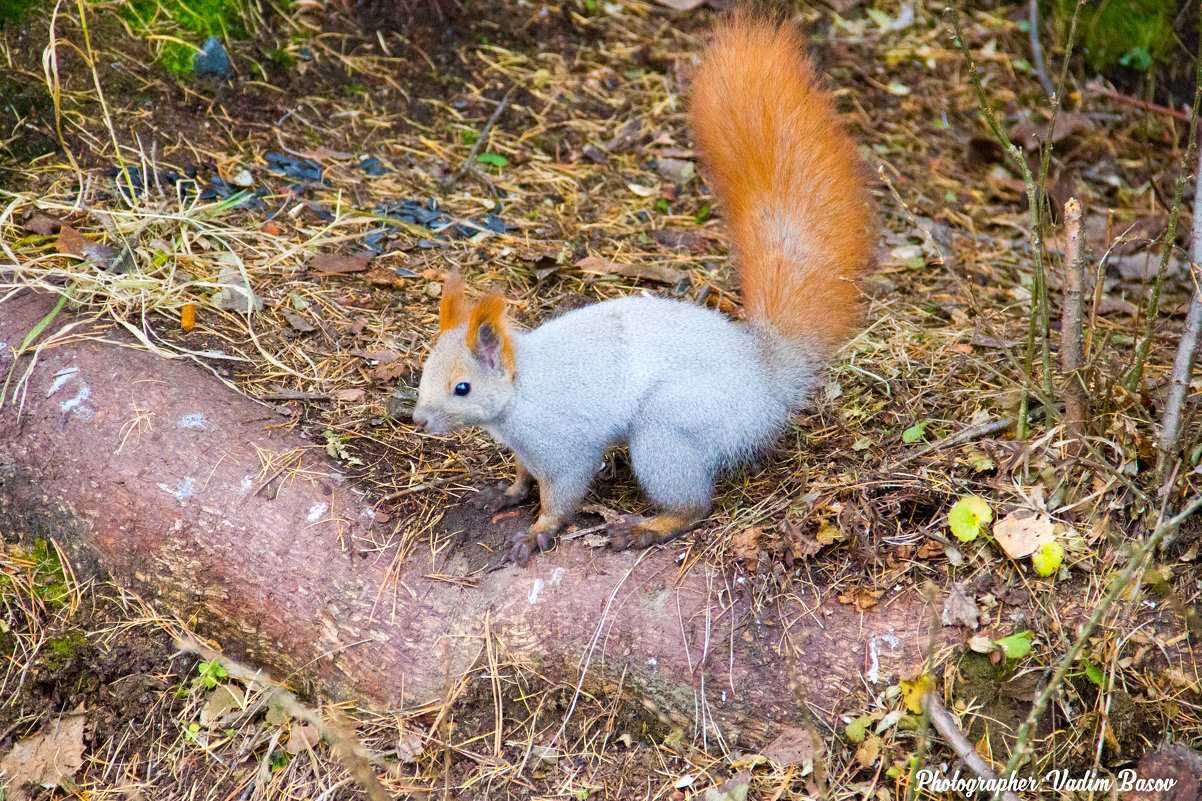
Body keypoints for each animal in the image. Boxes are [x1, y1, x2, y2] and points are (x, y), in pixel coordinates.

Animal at [413, 12, 875, 560]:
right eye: (424, 369)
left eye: (461, 388)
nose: (419, 420)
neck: (520, 390)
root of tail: (765, 379)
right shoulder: (527, 447)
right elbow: (524, 475)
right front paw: (506, 492)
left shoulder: (563, 443)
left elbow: (561, 492)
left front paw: (538, 531)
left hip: (668, 430)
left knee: (695, 507)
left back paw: (646, 528)